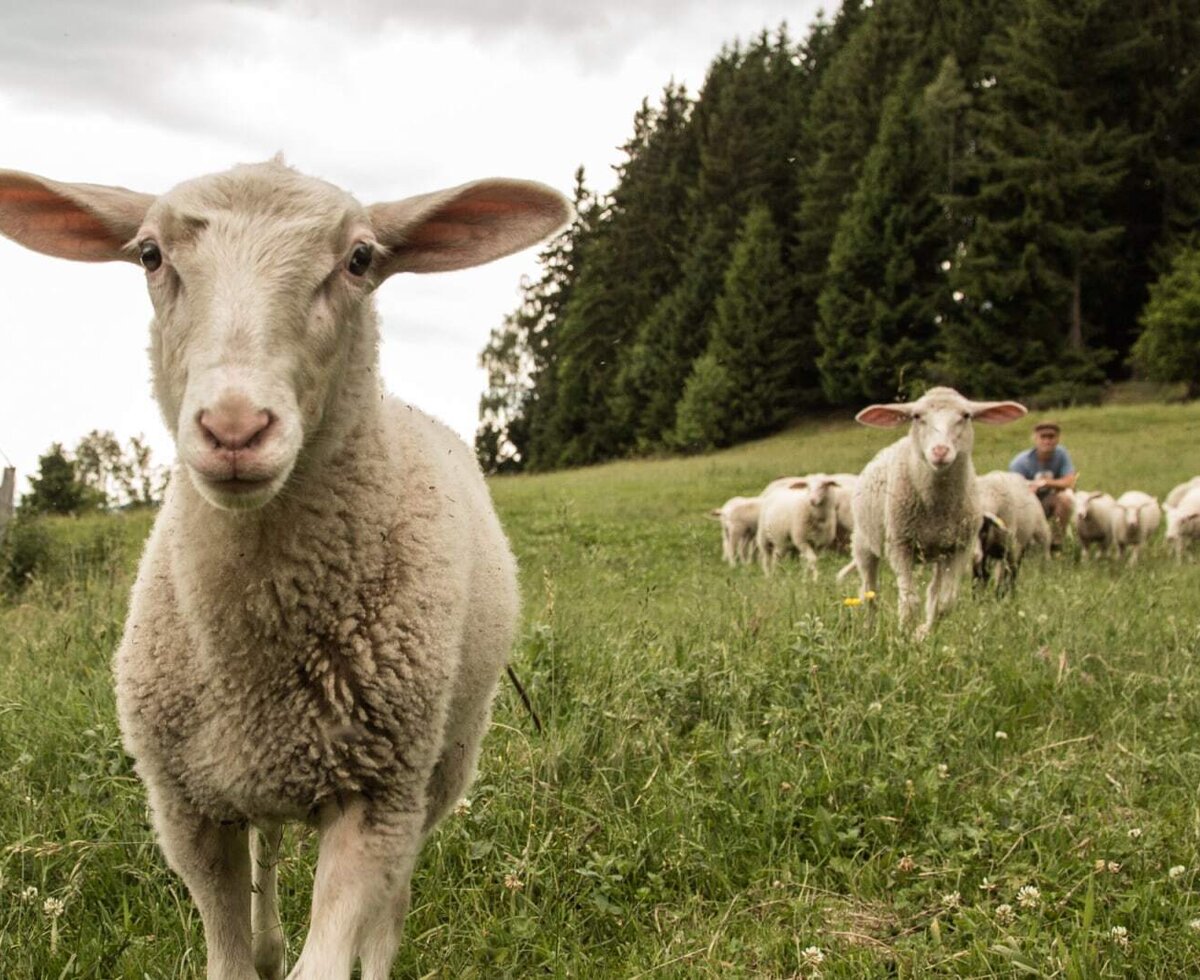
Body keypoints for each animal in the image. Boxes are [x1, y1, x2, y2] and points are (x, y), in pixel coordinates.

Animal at [0, 160, 569, 980]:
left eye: (360, 258)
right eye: (149, 255)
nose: (235, 428)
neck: (255, 652)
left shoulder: (377, 800)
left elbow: (331, 956)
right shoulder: (187, 811)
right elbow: (232, 957)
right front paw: (259, 952)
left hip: (436, 770)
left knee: (390, 909)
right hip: (259, 774)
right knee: (269, 847)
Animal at [850, 387, 1027, 639]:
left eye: (966, 415)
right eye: (916, 416)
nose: (940, 451)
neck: (936, 507)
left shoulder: (960, 548)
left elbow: (944, 602)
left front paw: (922, 633)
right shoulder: (899, 544)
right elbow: (909, 601)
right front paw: (904, 634)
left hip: (939, 552)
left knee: (933, 590)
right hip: (863, 543)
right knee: (869, 592)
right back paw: (869, 629)